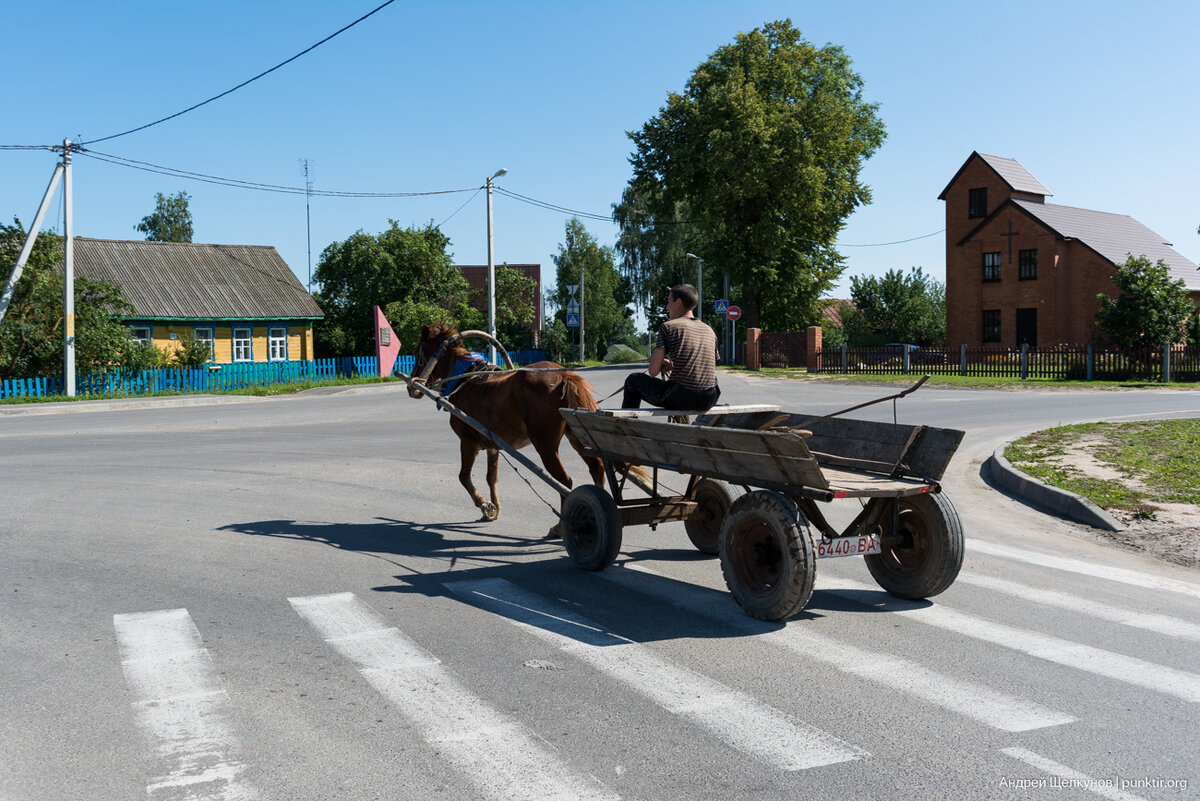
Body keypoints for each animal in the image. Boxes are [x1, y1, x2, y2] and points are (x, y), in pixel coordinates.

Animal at [415, 321, 609, 522]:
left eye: (416, 351)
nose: (413, 387)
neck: (462, 380)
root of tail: (564, 377)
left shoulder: (468, 442)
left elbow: (464, 477)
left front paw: (485, 505)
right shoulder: (492, 446)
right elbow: (491, 477)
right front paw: (495, 507)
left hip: (545, 446)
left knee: (564, 481)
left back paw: (561, 525)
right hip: (578, 436)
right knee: (596, 468)